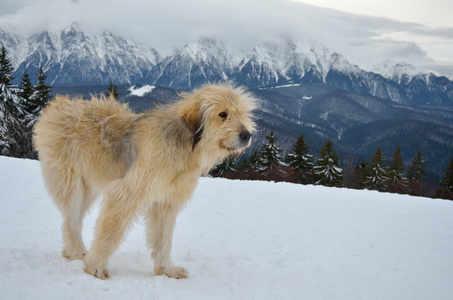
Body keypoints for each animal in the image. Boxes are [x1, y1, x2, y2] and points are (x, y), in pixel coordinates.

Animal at [33, 84, 256, 278]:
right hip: (71, 183)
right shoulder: (126, 192)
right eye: (222, 114)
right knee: (71, 218)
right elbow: (111, 232)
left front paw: (167, 270)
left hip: (89, 186)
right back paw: (78, 251)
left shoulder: (167, 202)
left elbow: (164, 240)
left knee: (72, 219)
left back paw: (72, 251)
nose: (247, 135)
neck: (182, 144)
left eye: (242, 113)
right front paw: (96, 266)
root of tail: (59, 103)